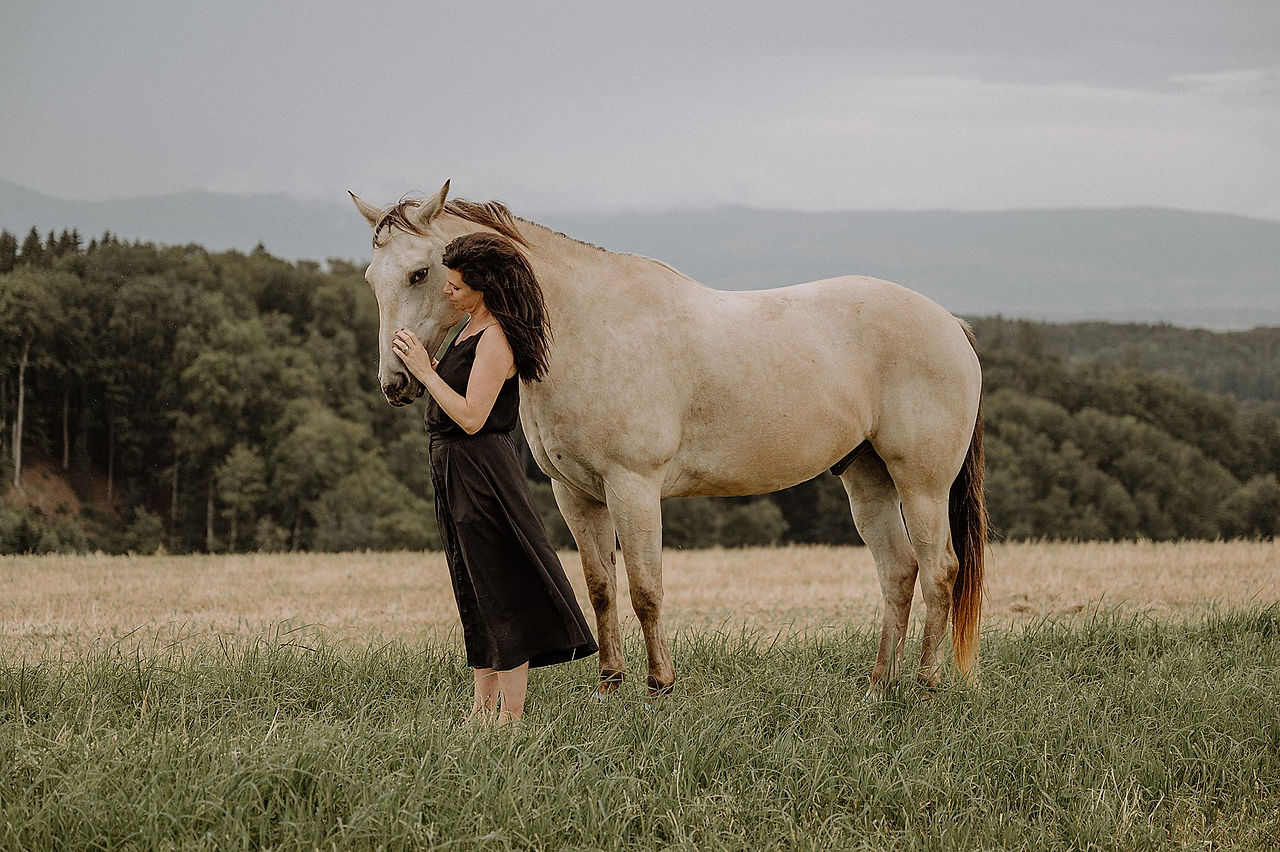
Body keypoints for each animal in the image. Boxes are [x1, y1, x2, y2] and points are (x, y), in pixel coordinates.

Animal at [350, 181, 987, 697]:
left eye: (419, 272)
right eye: (371, 279)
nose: (396, 382)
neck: (587, 327)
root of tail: (950, 324)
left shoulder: (633, 486)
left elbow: (645, 589)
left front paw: (659, 687)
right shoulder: (576, 494)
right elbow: (601, 587)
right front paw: (609, 684)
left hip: (922, 485)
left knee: (940, 571)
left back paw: (926, 687)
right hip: (867, 477)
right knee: (898, 572)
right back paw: (879, 689)